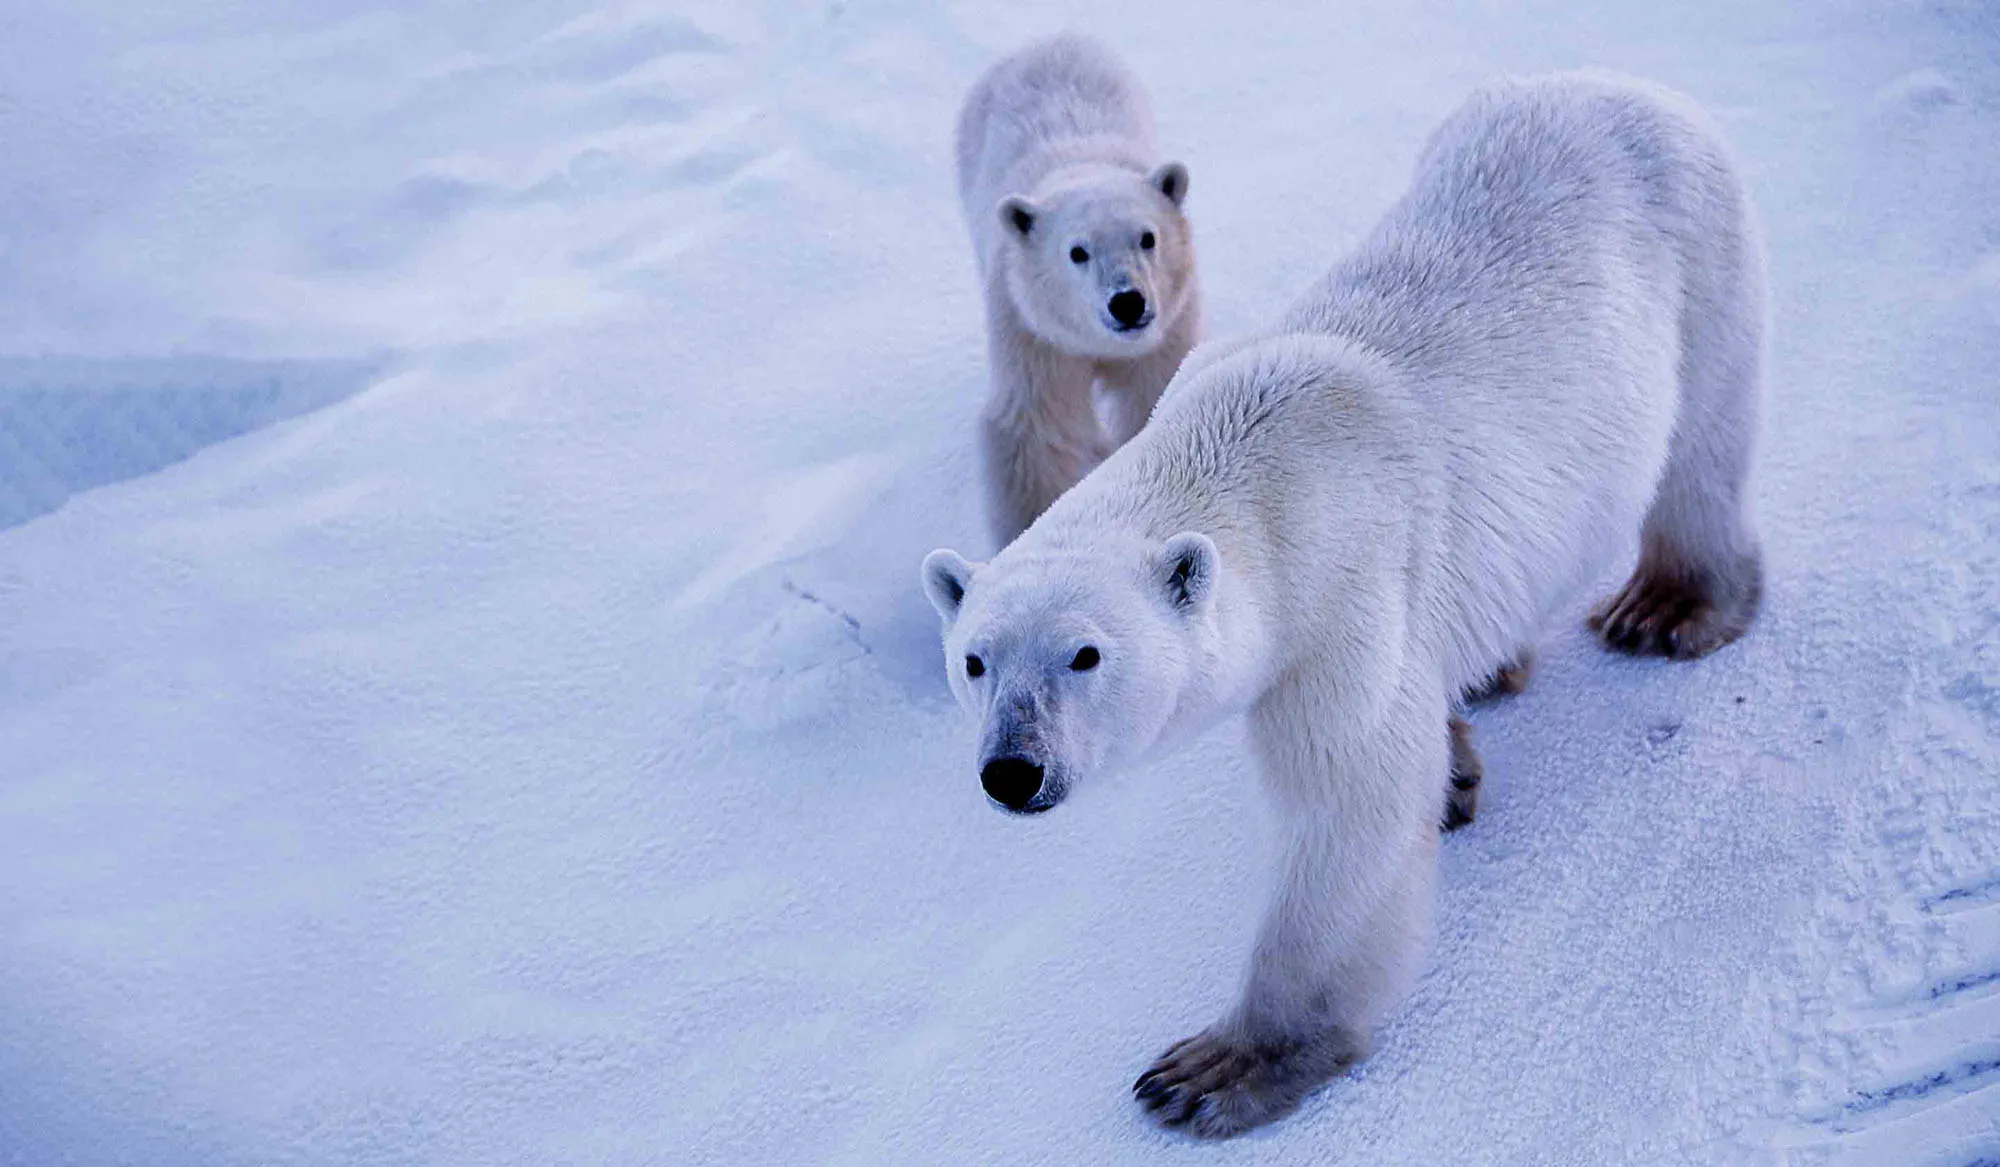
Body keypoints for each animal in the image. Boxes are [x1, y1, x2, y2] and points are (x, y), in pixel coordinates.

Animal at [954, 33, 1203, 550]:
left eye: (1148, 237)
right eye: (1077, 252)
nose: (1127, 302)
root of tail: (1043, 41)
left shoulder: (1168, 327)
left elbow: (1151, 398)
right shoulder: (1033, 332)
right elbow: (1037, 431)